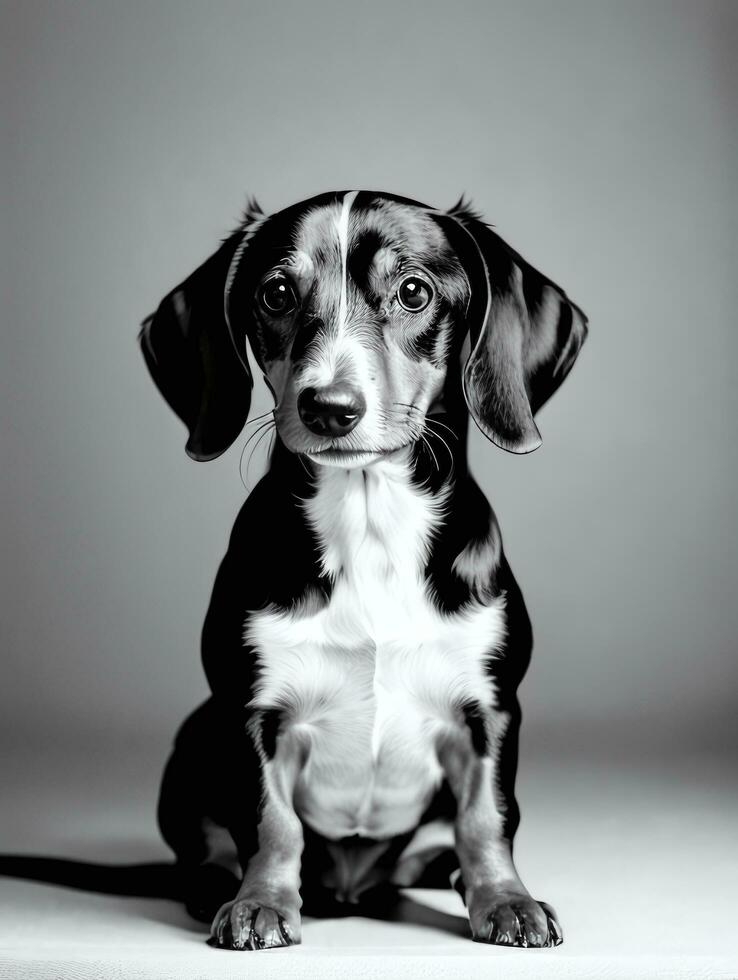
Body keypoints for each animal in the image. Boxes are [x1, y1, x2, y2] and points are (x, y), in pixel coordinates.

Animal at [139, 191, 588, 948]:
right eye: (276, 293)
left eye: (413, 292)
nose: (329, 408)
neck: (372, 522)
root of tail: (353, 886)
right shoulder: (249, 710)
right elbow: (270, 820)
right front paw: (260, 903)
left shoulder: (492, 709)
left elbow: (487, 817)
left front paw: (506, 901)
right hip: (196, 733)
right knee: (204, 849)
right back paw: (213, 887)